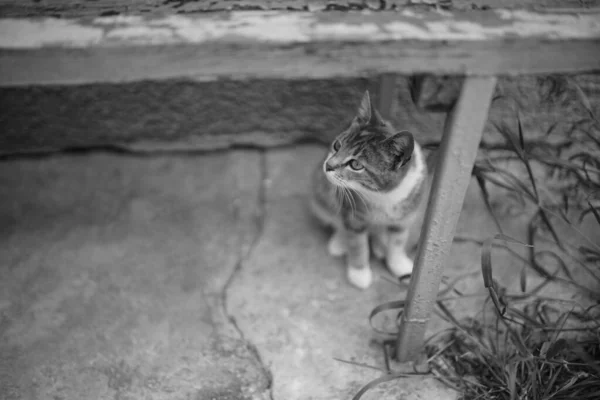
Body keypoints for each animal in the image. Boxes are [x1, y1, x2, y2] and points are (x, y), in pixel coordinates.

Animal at [310, 90, 432, 290]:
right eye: (337, 145)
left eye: (356, 164)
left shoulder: (406, 214)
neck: (384, 196)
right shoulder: (354, 215)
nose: (328, 165)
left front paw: (398, 263)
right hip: (321, 194)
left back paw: (380, 244)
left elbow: (398, 241)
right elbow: (357, 243)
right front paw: (359, 272)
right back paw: (340, 241)